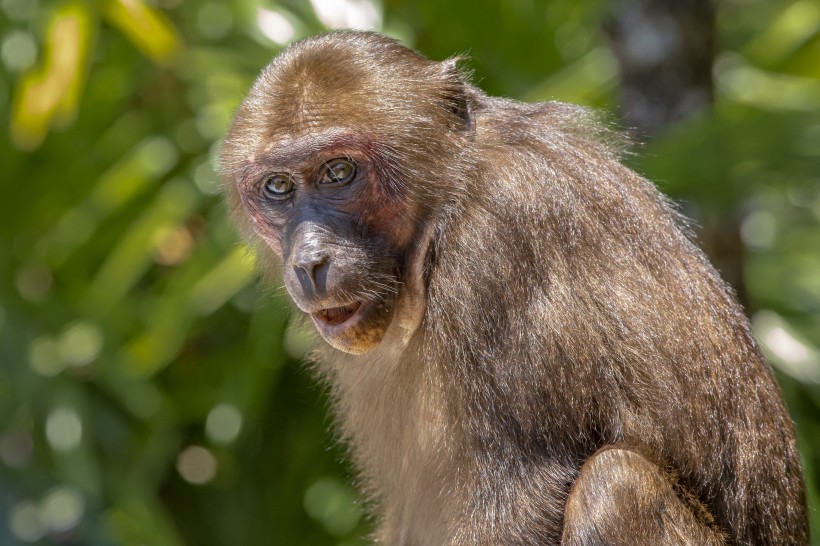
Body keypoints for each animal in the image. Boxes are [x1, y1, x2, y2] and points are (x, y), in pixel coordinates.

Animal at [219, 30, 808, 544]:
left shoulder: (498, 238)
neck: (440, 215)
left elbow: (519, 496)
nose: (309, 260)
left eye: (339, 172)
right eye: (278, 187)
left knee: (613, 487)